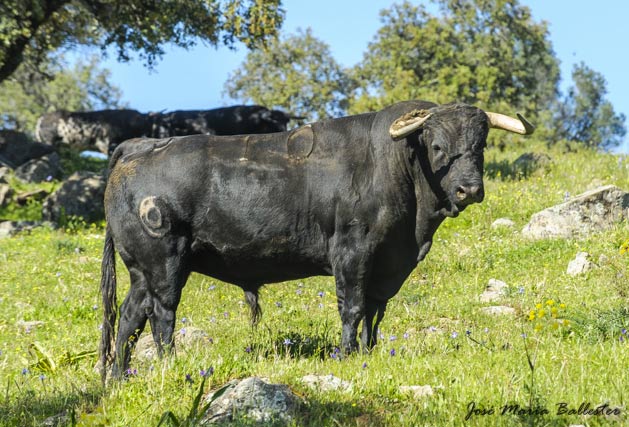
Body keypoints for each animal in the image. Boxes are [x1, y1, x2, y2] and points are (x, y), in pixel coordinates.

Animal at [100, 100, 532, 382]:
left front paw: (368, 352)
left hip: (142, 270)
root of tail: (138, 146)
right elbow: (352, 307)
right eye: (438, 146)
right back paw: (168, 365)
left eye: (480, 145)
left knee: (130, 316)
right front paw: (346, 355)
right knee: (162, 315)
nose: (469, 190)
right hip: (165, 262)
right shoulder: (352, 252)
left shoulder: (386, 265)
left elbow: (374, 312)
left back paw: (119, 376)